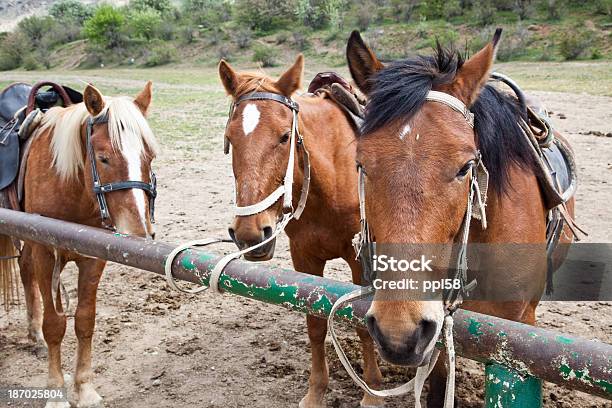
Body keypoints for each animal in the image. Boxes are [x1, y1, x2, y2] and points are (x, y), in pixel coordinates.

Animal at [0, 83, 158, 408]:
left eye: (149, 157)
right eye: (104, 157)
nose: (138, 232)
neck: (70, 185)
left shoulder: (93, 257)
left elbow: (85, 321)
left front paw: (85, 389)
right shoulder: (46, 253)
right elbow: (55, 325)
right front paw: (56, 393)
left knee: (24, 270)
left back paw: (33, 335)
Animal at [218, 56, 384, 408]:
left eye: (284, 136)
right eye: (230, 138)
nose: (251, 234)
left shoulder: (358, 259)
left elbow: (363, 324)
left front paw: (372, 389)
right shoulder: (304, 257)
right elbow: (315, 324)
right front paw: (316, 390)